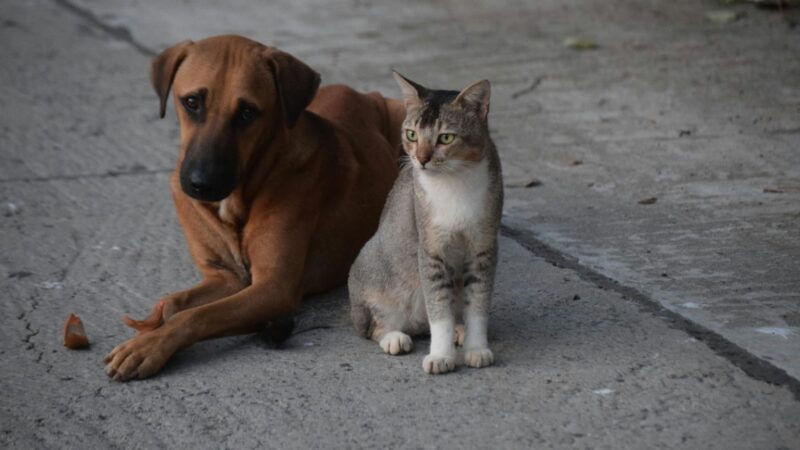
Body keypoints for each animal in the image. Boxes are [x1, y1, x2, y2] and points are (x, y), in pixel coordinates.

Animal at [104, 34, 406, 380]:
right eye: (192, 102)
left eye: (247, 112)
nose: (201, 184)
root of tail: (366, 93)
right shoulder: (225, 278)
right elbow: (175, 302)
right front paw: (151, 327)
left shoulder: (272, 287)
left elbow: (199, 315)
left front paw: (150, 345)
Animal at [348, 74, 504, 374]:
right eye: (411, 135)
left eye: (446, 137)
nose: (421, 159)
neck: (455, 181)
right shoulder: (430, 250)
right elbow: (438, 308)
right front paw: (440, 356)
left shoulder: (483, 248)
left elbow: (478, 305)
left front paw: (476, 348)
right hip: (373, 271)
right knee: (375, 326)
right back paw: (394, 337)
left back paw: (460, 330)